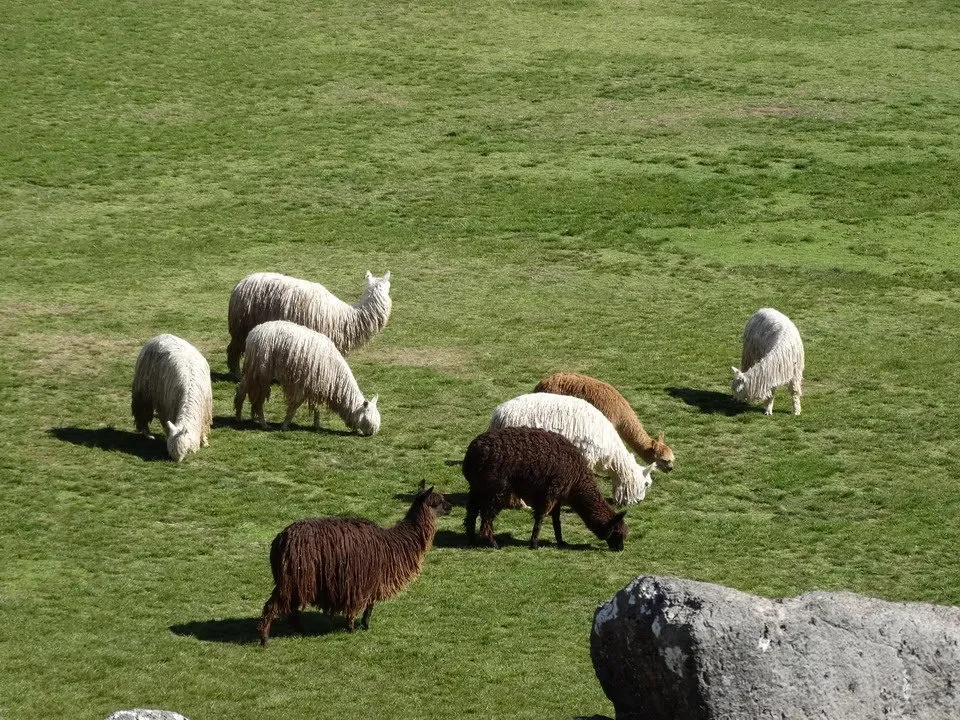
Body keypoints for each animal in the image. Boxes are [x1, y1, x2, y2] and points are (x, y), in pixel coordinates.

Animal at [227, 270, 392, 378]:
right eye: (389, 286)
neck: (346, 318)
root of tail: (240, 284)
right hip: (242, 326)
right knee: (233, 349)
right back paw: (236, 374)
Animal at [233, 320, 380, 435]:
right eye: (367, 419)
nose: (371, 434)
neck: (336, 381)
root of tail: (253, 333)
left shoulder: (316, 388)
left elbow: (316, 408)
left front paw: (316, 425)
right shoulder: (302, 386)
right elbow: (294, 406)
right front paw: (285, 425)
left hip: (253, 373)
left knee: (242, 390)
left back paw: (239, 416)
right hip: (261, 373)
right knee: (257, 399)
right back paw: (263, 423)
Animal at [257, 480, 451, 644]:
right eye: (438, 501)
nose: (450, 506)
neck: (393, 543)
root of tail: (281, 539)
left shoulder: (369, 580)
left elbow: (369, 604)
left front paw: (363, 625)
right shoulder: (362, 581)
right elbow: (363, 605)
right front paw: (354, 627)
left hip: (296, 578)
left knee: (291, 607)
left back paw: (299, 630)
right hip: (293, 576)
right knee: (273, 606)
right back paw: (265, 639)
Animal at [462, 427, 629, 551]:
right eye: (617, 534)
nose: (620, 549)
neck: (576, 481)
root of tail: (472, 452)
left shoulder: (557, 495)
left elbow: (556, 520)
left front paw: (561, 541)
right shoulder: (551, 491)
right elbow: (541, 517)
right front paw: (534, 544)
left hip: (478, 487)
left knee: (471, 513)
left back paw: (471, 540)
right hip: (496, 488)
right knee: (486, 518)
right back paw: (493, 544)